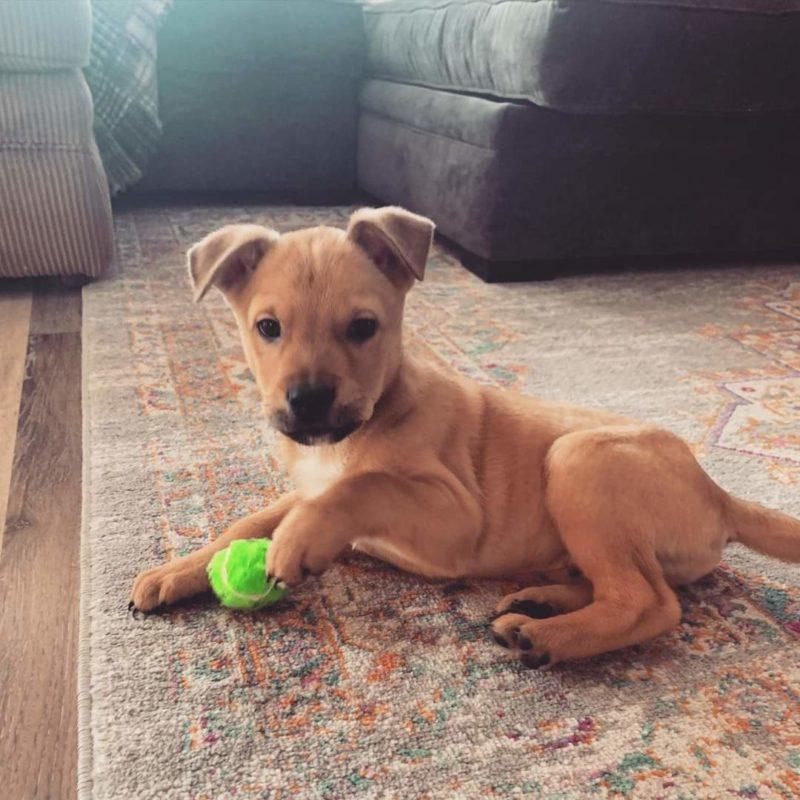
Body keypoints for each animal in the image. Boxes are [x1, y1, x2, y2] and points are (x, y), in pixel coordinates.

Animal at [131, 208, 800, 668]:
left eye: (363, 327)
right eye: (267, 328)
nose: (310, 401)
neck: (355, 430)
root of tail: (718, 494)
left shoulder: (454, 516)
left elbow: (363, 488)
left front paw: (299, 540)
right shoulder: (306, 485)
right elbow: (247, 522)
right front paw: (179, 570)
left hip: (578, 460)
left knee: (650, 602)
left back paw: (545, 635)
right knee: (621, 584)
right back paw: (543, 603)